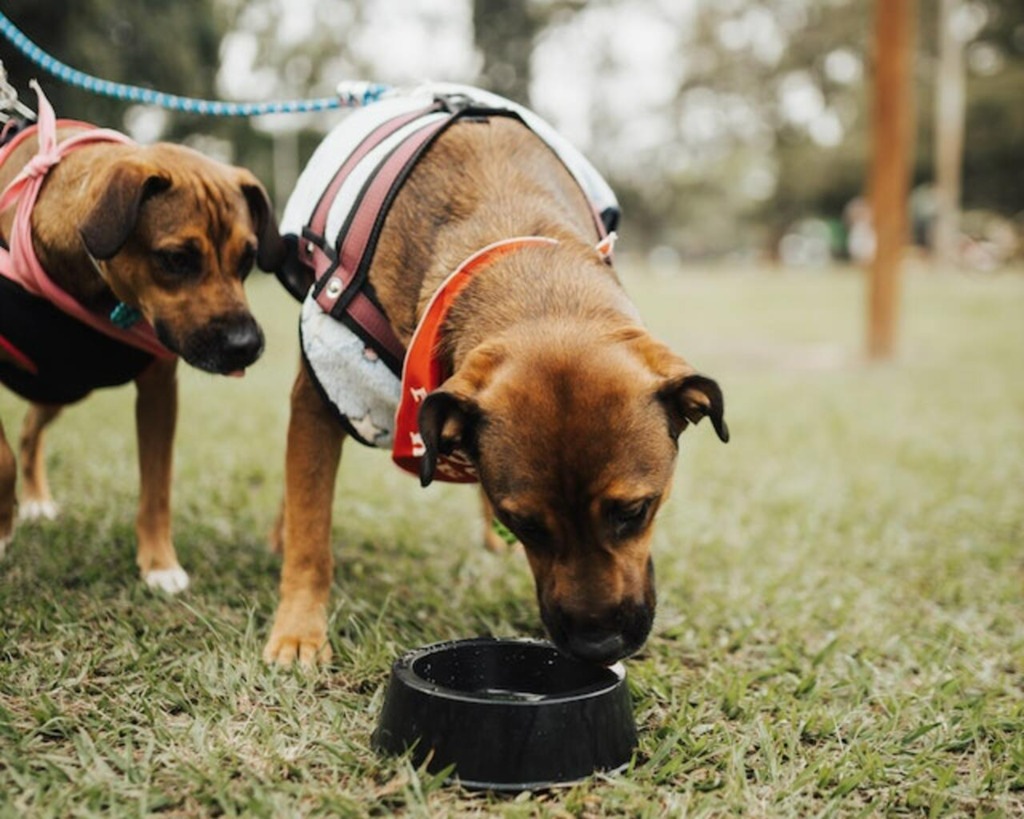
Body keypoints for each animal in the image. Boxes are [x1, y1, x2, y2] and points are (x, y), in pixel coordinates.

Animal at [0, 84, 284, 589]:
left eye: (248, 258)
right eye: (176, 259)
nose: (246, 345)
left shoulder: (158, 391)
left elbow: (157, 486)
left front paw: (159, 565)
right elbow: (1, 458)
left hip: (61, 386)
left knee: (32, 430)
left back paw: (34, 499)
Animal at [264, 86, 729, 667]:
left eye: (635, 511)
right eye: (525, 523)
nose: (597, 645)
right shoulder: (320, 394)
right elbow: (311, 528)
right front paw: (299, 630)